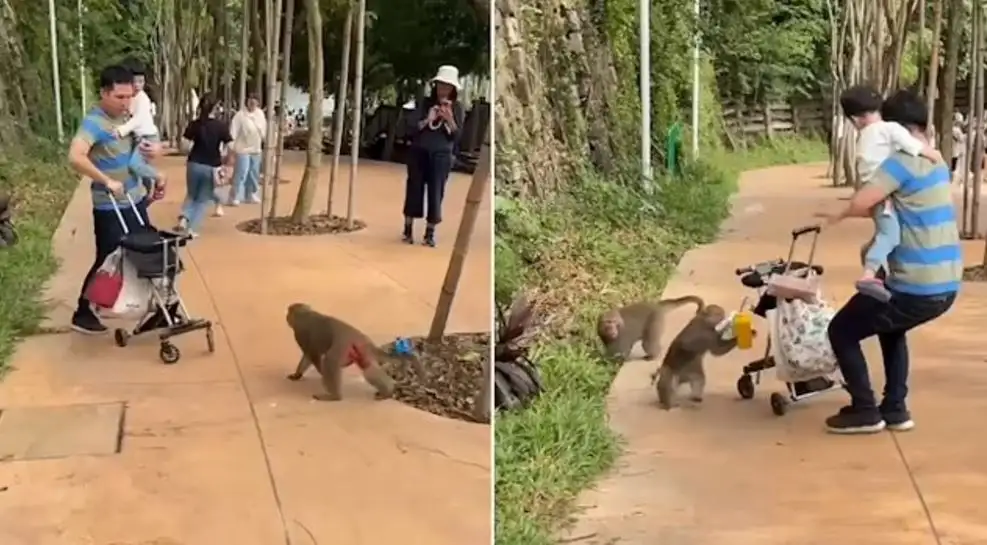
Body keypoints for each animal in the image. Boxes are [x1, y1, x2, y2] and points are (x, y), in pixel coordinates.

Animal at [286, 304, 424, 402]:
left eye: (288, 312)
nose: (287, 317)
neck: (305, 314)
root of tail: (364, 340)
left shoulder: (300, 333)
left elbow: (311, 355)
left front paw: (318, 373)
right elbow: (309, 356)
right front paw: (297, 375)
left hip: (343, 346)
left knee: (330, 361)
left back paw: (335, 396)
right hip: (361, 351)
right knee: (368, 370)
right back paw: (388, 392)